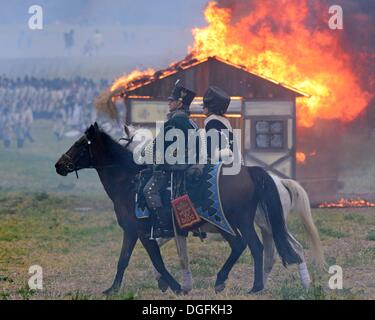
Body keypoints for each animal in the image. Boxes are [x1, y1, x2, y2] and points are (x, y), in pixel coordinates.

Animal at [55, 123, 302, 296]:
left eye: (80, 144)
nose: (59, 165)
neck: (128, 181)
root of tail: (249, 171)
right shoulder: (132, 232)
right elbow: (123, 259)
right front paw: (112, 289)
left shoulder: (142, 232)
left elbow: (158, 261)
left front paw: (175, 286)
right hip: (226, 224)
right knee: (241, 245)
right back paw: (223, 281)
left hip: (239, 221)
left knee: (255, 247)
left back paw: (255, 286)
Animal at [122, 124, 324, 292]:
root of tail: (278, 181)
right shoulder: (172, 230)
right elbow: (160, 248)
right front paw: (165, 281)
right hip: (268, 225)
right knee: (282, 251)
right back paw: (292, 284)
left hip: (249, 223)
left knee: (260, 248)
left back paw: (256, 286)